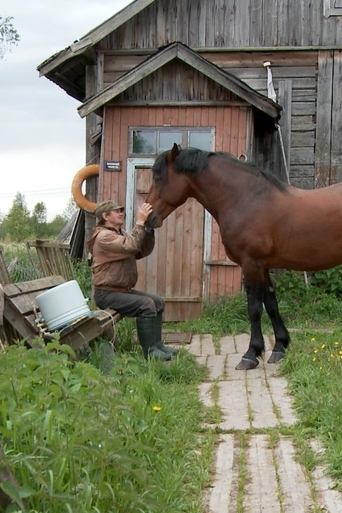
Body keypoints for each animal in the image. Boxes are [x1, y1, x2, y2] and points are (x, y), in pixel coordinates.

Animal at [146, 143, 342, 368]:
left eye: (159, 178)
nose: (149, 217)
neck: (246, 199)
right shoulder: (262, 266)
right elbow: (271, 304)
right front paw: (279, 347)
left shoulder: (250, 264)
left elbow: (254, 308)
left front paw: (251, 354)